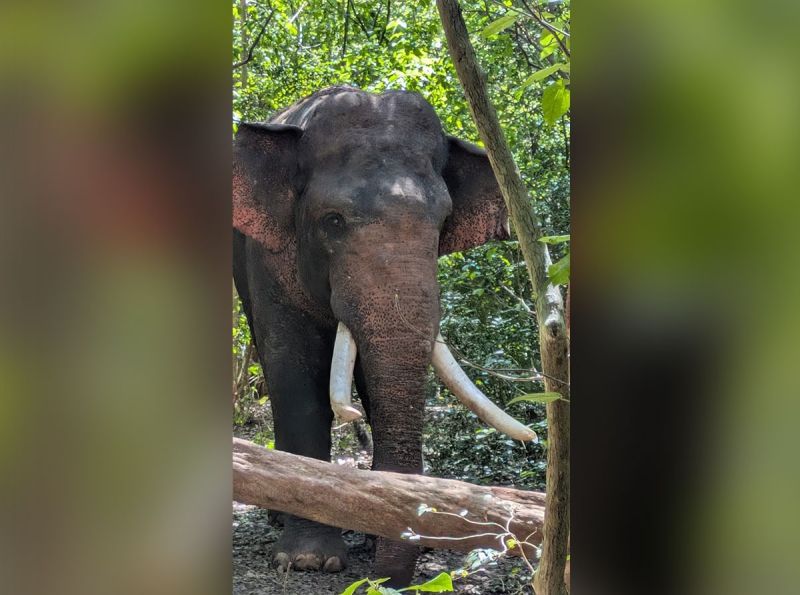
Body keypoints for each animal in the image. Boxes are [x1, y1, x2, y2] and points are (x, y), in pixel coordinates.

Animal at [232, 86, 536, 587]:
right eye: (333, 221)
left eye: (443, 222)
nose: (384, 582)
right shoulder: (267, 263)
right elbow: (295, 377)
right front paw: (308, 559)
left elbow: (379, 389)